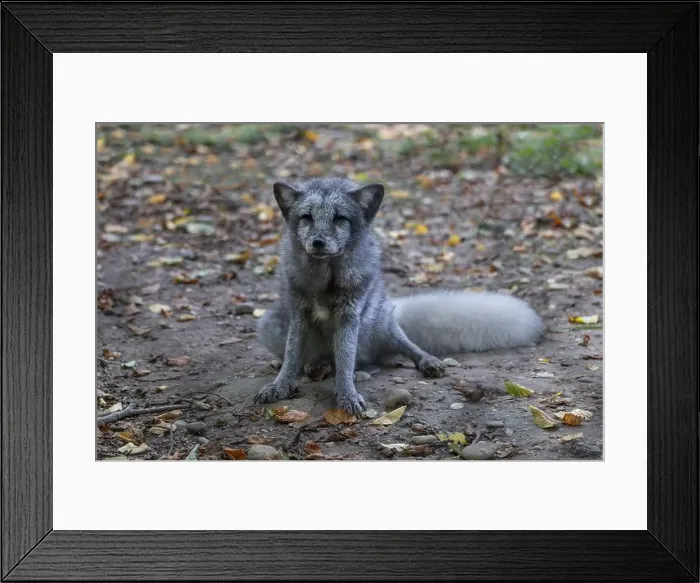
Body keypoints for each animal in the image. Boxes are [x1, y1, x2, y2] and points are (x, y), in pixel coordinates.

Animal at [254, 177, 545, 414]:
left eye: (339, 219)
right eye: (307, 217)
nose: (318, 243)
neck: (327, 280)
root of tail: (391, 306)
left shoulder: (350, 315)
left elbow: (346, 360)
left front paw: (347, 394)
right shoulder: (298, 313)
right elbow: (292, 356)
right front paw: (279, 386)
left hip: (381, 324)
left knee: (393, 350)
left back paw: (421, 361)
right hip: (269, 325)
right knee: (316, 360)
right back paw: (316, 367)